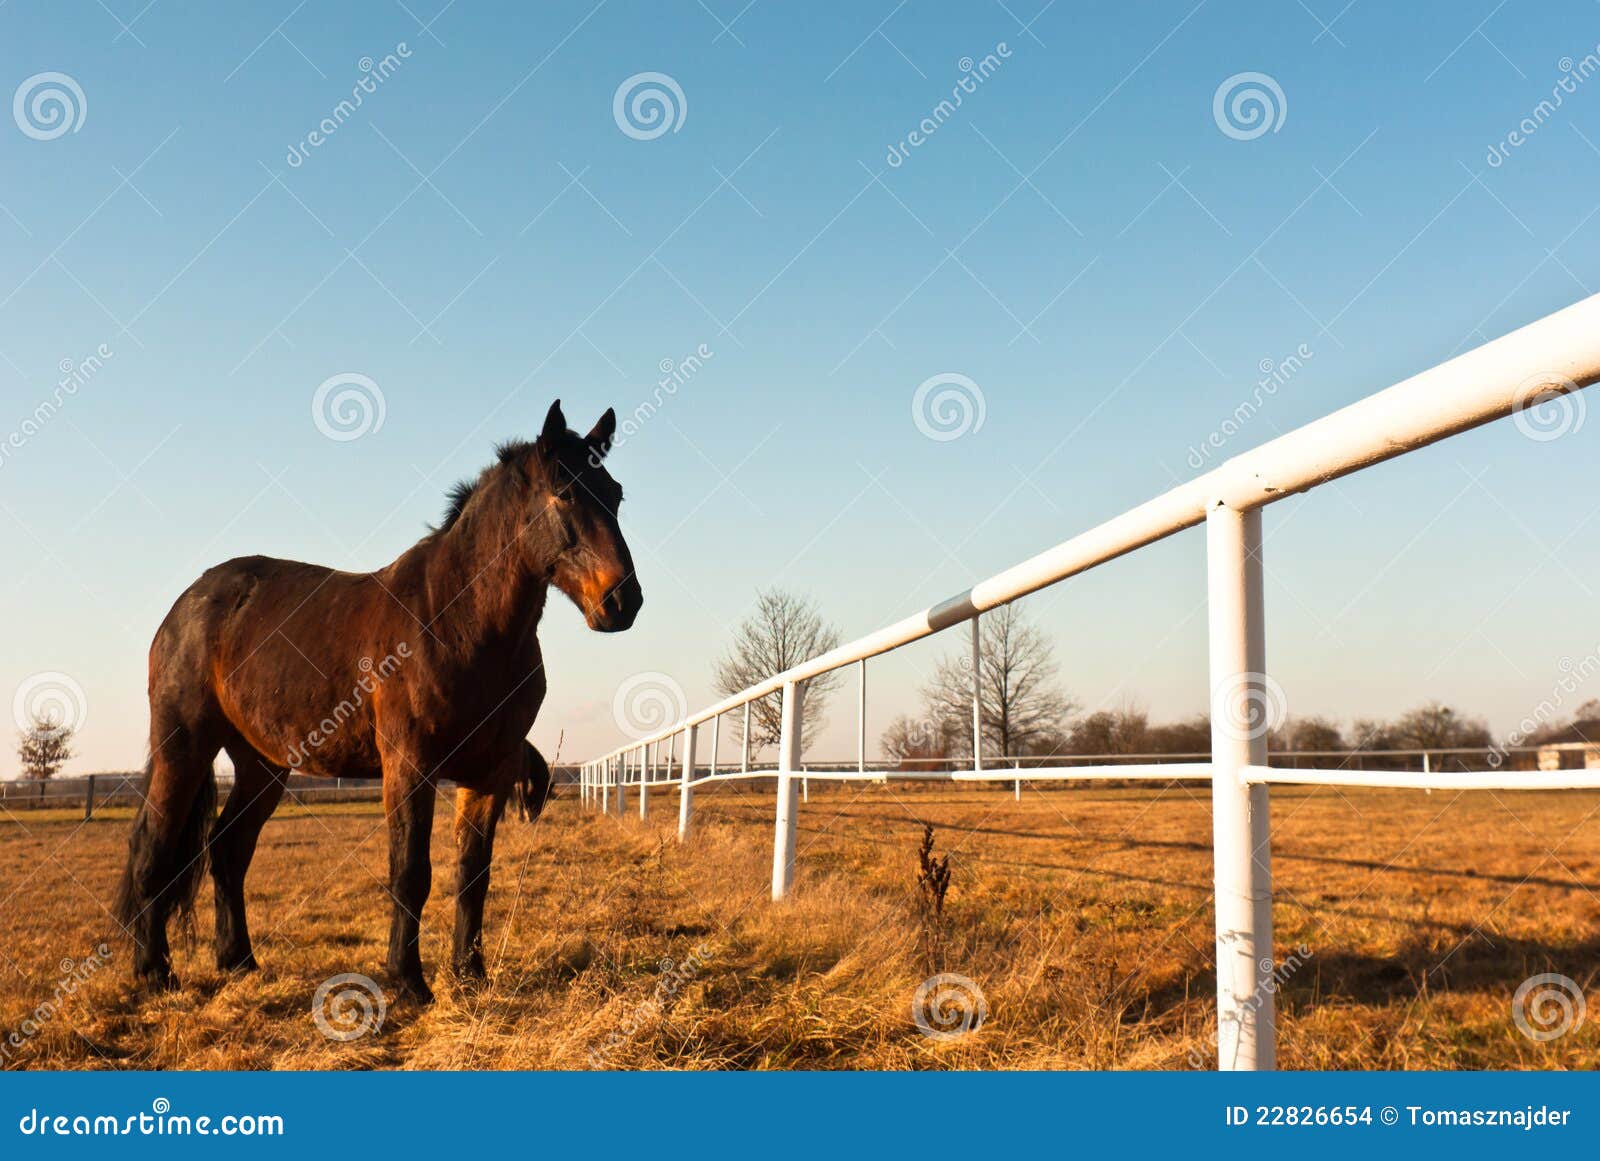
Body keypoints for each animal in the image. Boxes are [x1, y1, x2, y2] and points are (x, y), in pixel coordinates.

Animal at [116, 404, 640, 1004]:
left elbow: (473, 874)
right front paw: (408, 980)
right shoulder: (409, 766)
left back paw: (239, 962)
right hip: (184, 747)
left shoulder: (490, 772)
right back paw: (154, 972)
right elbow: (411, 872)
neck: (456, 621)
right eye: (564, 493)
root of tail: (188, 604)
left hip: (261, 764)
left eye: (615, 493)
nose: (622, 601)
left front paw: (470, 974)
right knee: (152, 849)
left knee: (227, 851)